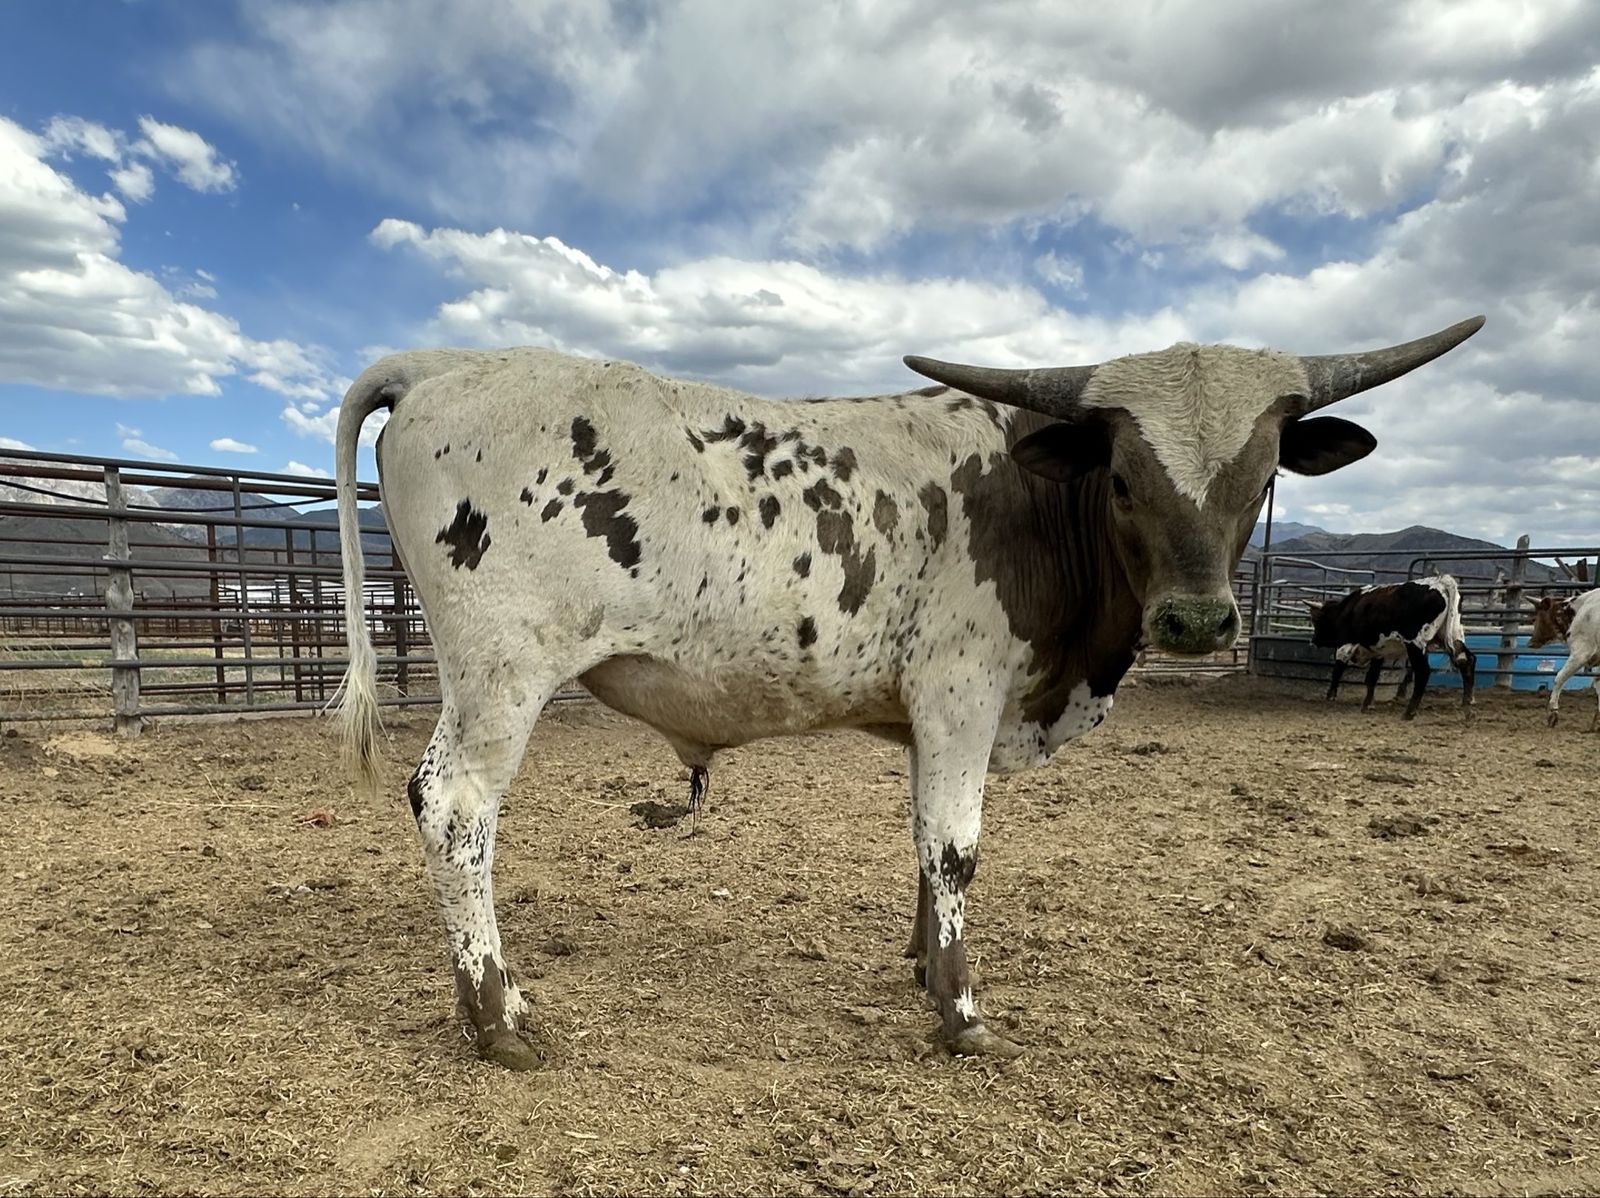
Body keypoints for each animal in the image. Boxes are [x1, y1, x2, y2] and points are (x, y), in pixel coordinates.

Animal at [1305, 575, 1477, 720]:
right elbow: (1372, 677)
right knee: (1466, 660)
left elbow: (1337, 671)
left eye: (1317, 621)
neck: (1346, 610)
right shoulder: (1378, 651)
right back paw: (1467, 705)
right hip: (1454, 635)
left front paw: (1330, 696)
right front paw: (1368, 704)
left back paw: (1409, 712)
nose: (1313, 641)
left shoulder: (1345, 646)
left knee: (1423, 671)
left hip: (1415, 643)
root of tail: (1441, 582)